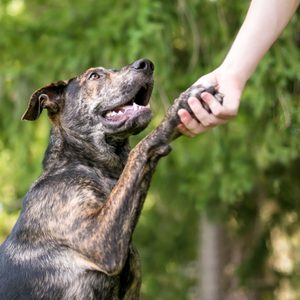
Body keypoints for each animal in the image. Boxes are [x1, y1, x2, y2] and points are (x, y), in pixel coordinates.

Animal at [0, 57, 220, 298]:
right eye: (94, 76)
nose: (146, 64)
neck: (87, 165)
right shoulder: (98, 239)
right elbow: (139, 150)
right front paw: (179, 107)